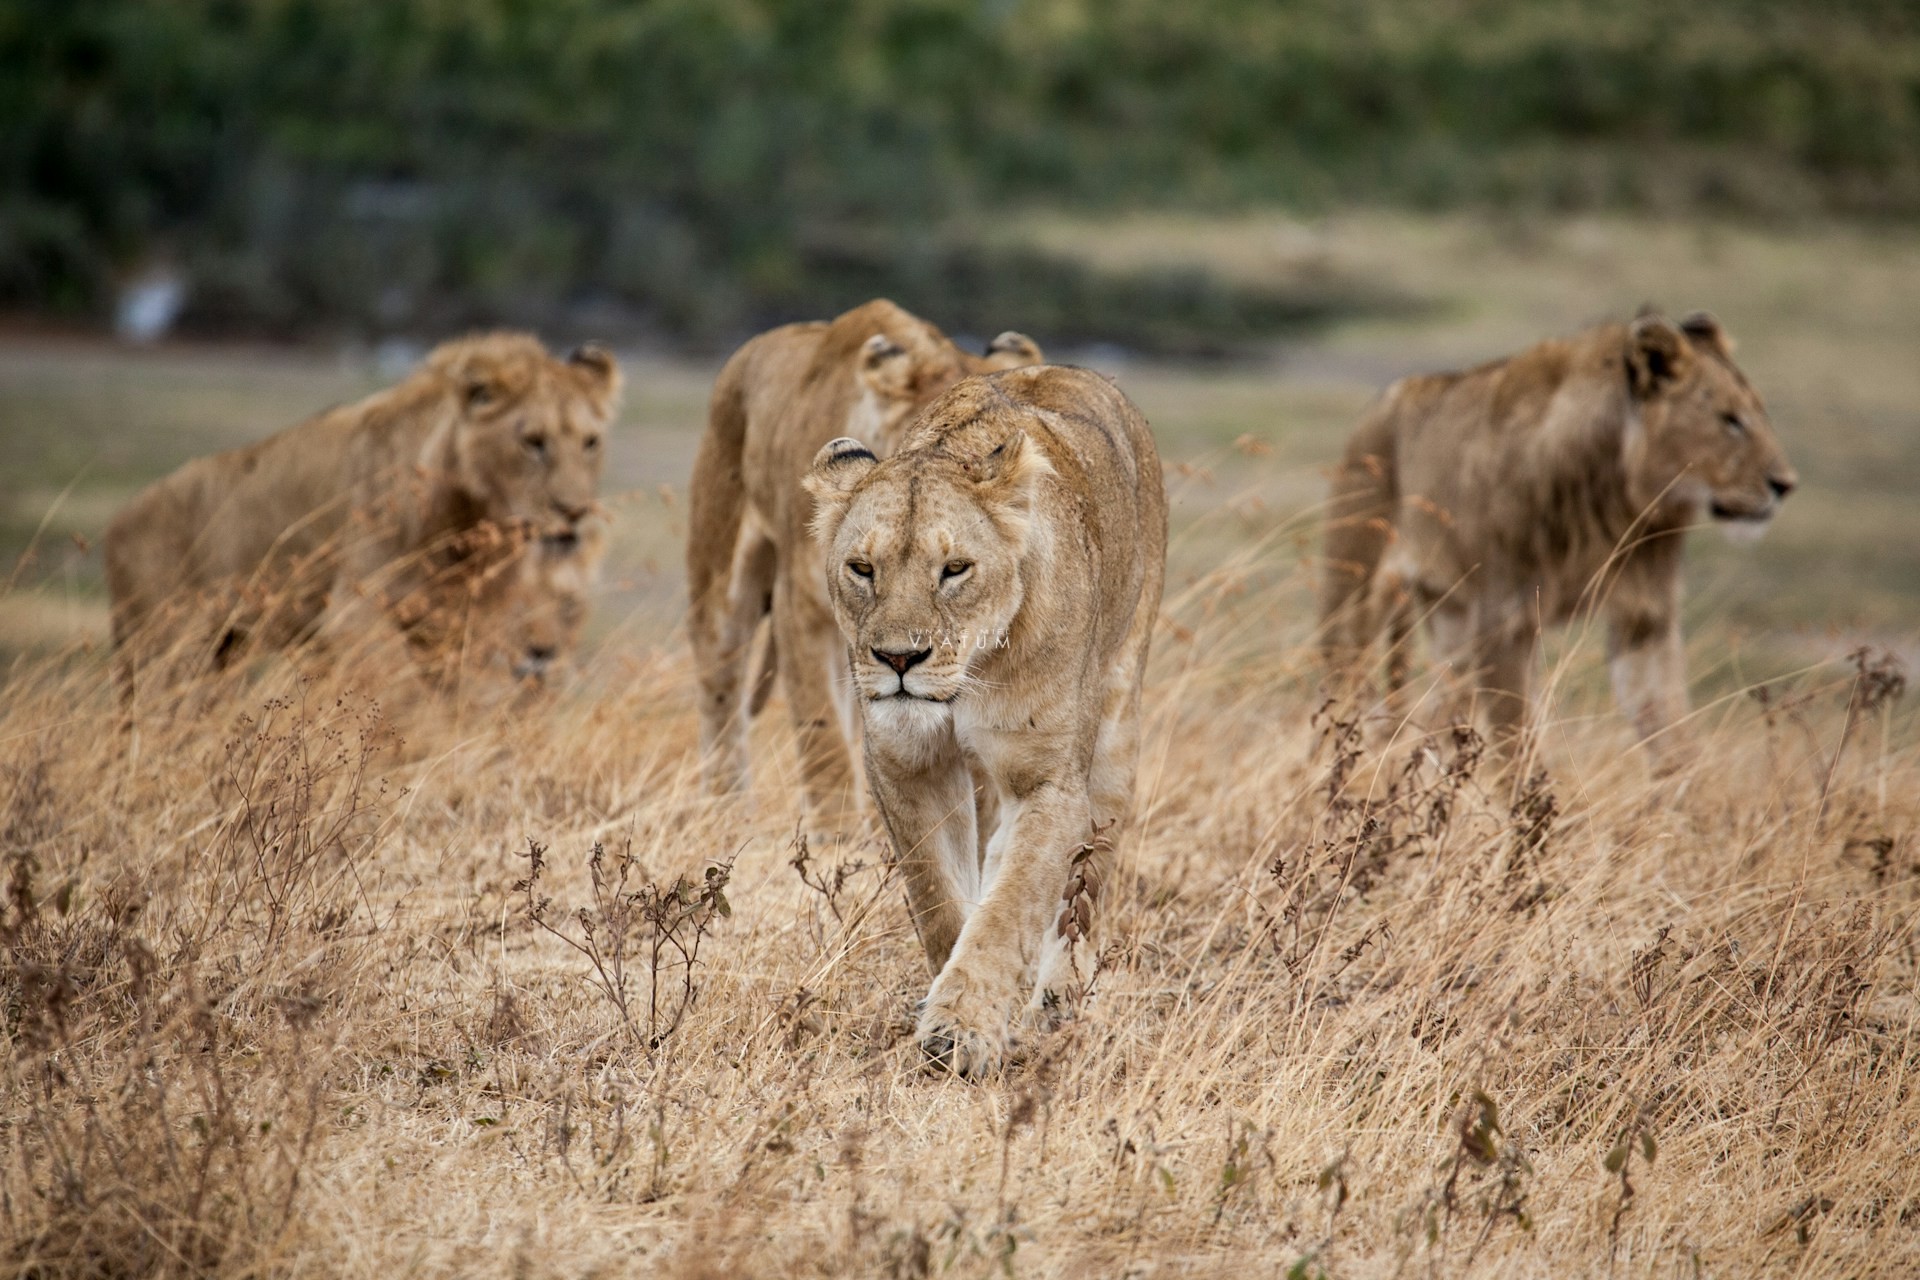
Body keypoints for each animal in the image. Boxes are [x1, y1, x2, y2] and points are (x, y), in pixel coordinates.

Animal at [105, 330, 618, 702]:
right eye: (532, 442)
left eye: (590, 442)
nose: (575, 511)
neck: (466, 525)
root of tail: (120, 517)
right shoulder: (356, 619)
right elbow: (397, 706)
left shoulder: (458, 627)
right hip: (164, 648)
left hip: (224, 649)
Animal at [687, 297, 1044, 832]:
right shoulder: (803, 611)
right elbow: (824, 742)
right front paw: (836, 839)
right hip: (720, 579)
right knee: (721, 693)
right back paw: (724, 813)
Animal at [802, 364, 1159, 1074]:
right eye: (863, 568)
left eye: (955, 570)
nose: (899, 659)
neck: (967, 680)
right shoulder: (906, 764)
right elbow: (940, 897)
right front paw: (951, 1000)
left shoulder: (1049, 782)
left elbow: (1010, 908)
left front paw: (960, 1032)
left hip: (1116, 728)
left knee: (1086, 885)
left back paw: (1059, 1000)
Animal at [1320, 310, 1797, 767]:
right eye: (1730, 420)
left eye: (1760, 413)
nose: (1786, 485)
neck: (1618, 502)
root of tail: (1386, 398)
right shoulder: (1505, 622)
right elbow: (1519, 755)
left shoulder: (1646, 617)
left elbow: (1673, 739)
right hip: (1356, 597)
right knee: (1342, 699)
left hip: (1450, 618)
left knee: (1437, 720)